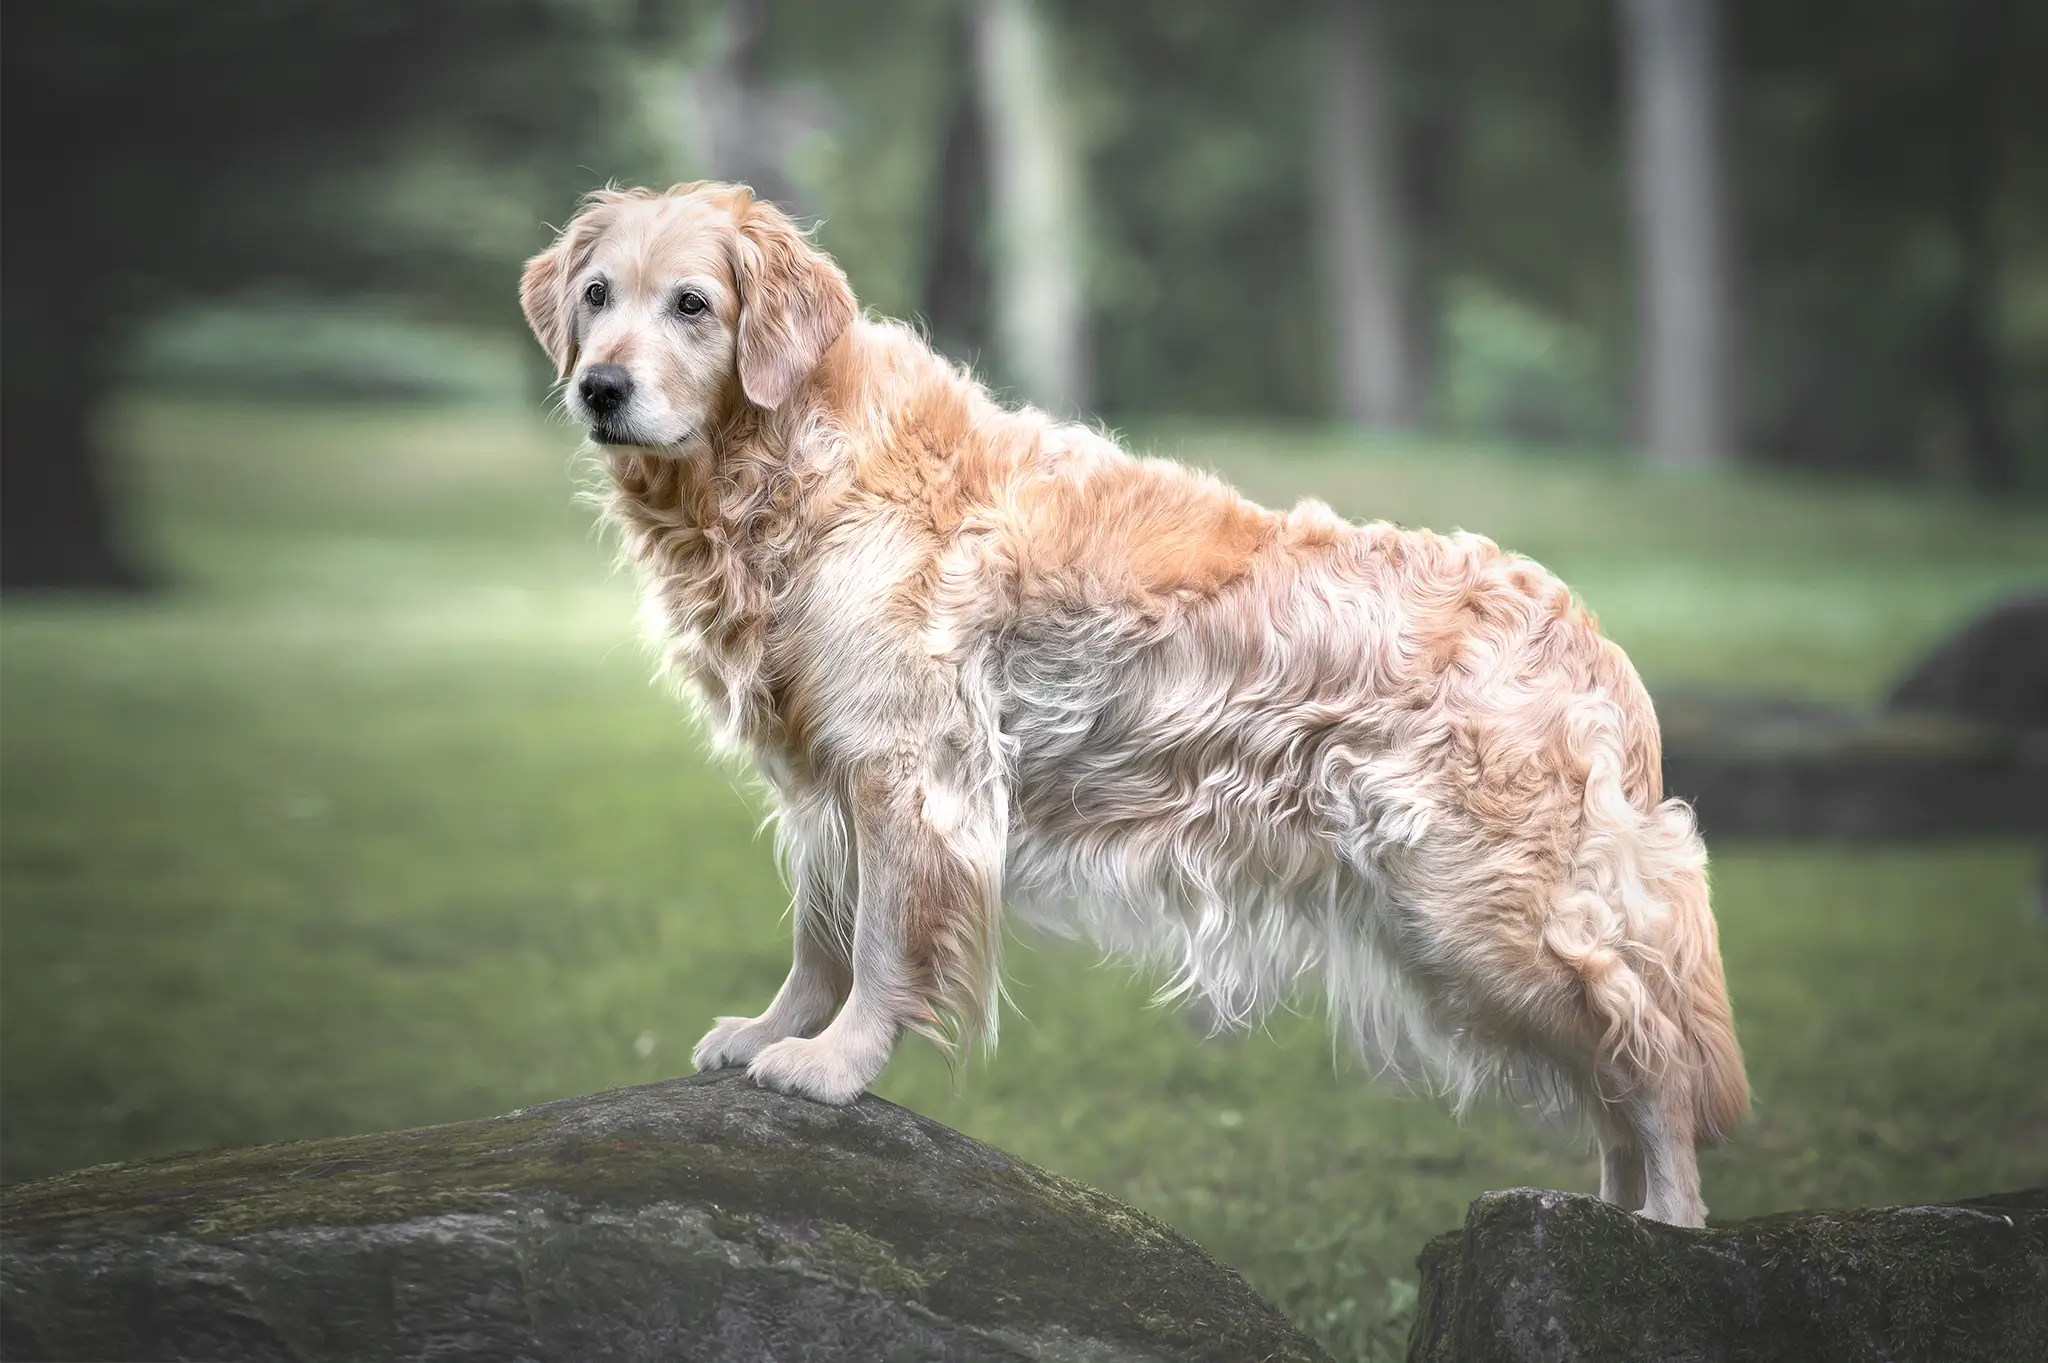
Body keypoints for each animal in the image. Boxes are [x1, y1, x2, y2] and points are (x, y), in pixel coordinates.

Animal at [524, 178, 1744, 1219]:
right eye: (597, 297)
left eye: (692, 305)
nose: (600, 387)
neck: (786, 466)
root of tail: (1591, 637)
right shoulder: (828, 778)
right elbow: (818, 939)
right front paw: (773, 1029)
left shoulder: (909, 771)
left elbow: (875, 947)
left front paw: (834, 1065)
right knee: (1614, 1072)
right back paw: (1608, 1220)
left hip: (1480, 913)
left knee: (1652, 1059)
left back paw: (1664, 1229)